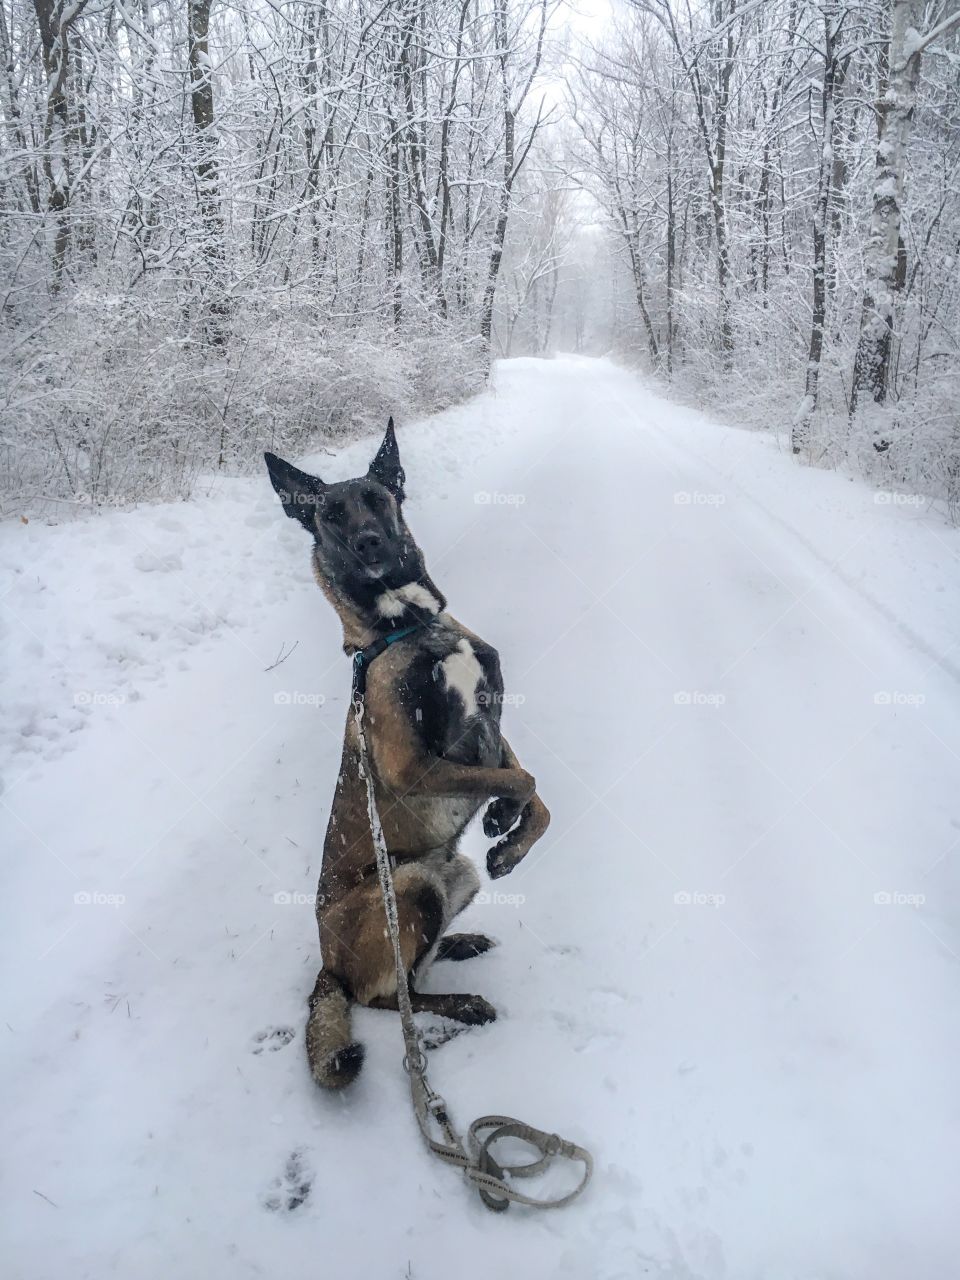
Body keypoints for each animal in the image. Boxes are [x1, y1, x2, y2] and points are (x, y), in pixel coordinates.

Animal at [264, 419, 547, 1090]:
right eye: (330, 515)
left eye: (377, 498)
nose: (369, 543)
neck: (410, 626)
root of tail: (327, 966)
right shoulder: (415, 765)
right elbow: (516, 779)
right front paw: (503, 817)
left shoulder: (492, 721)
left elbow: (533, 786)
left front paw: (513, 840)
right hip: (411, 884)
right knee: (389, 996)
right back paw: (461, 1004)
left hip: (453, 874)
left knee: (413, 968)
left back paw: (459, 944)